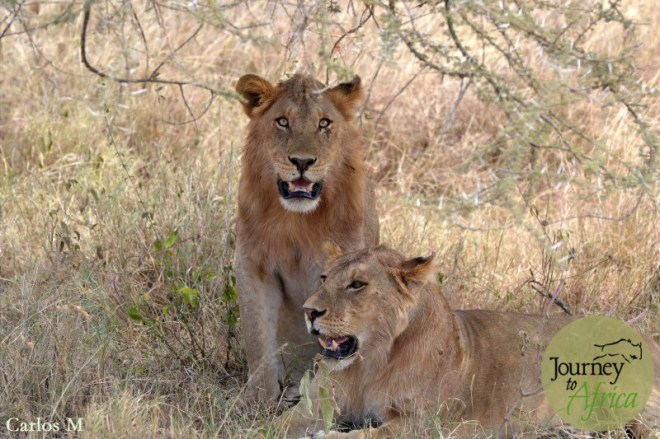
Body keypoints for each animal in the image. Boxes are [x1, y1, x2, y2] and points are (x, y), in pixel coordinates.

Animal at [234, 73, 379, 402]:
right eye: (282, 122)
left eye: (324, 123)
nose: (302, 162)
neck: (296, 221)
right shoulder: (253, 264)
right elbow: (257, 336)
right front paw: (258, 401)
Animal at [278, 245, 660, 438]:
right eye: (324, 278)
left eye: (357, 285)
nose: (308, 311)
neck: (369, 364)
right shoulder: (317, 405)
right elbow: (280, 424)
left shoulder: (422, 424)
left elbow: (365, 436)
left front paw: (327, 437)